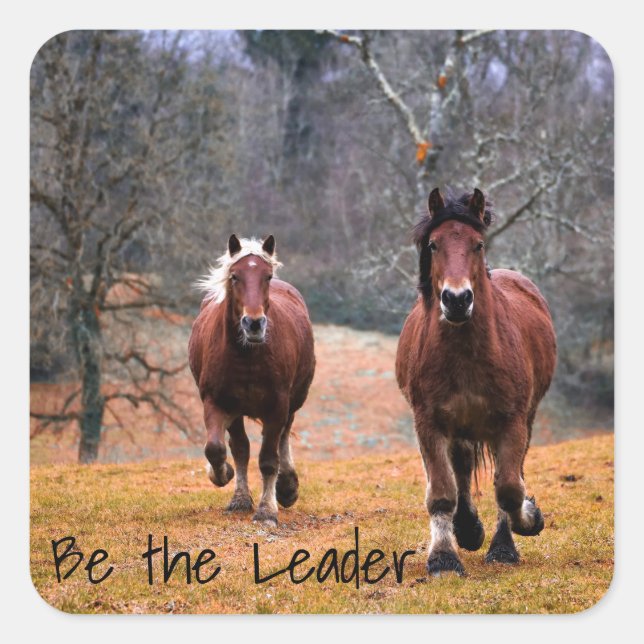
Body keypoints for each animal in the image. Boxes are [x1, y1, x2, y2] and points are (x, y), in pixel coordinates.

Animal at [189, 234, 315, 526]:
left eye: (267, 276)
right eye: (235, 276)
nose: (254, 324)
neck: (246, 356)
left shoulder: (277, 406)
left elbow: (269, 459)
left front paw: (267, 510)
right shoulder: (217, 402)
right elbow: (218, 449)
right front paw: (224, 477)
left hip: (293, 402)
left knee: (283, 438)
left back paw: (286, 487)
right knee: (241, 448)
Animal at [395, 188, 557, 576]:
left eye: (478, 244)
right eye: (434, 244)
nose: (457, 300)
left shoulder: (511, 421)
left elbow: (509, 488)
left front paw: (527, 521)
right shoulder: (429, 423)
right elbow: (442, 491)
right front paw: (443, 557)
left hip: (521, 420)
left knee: (505, 474)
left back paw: (499, 542)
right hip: (460, 427)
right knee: (463, 470)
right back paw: (467, 529)